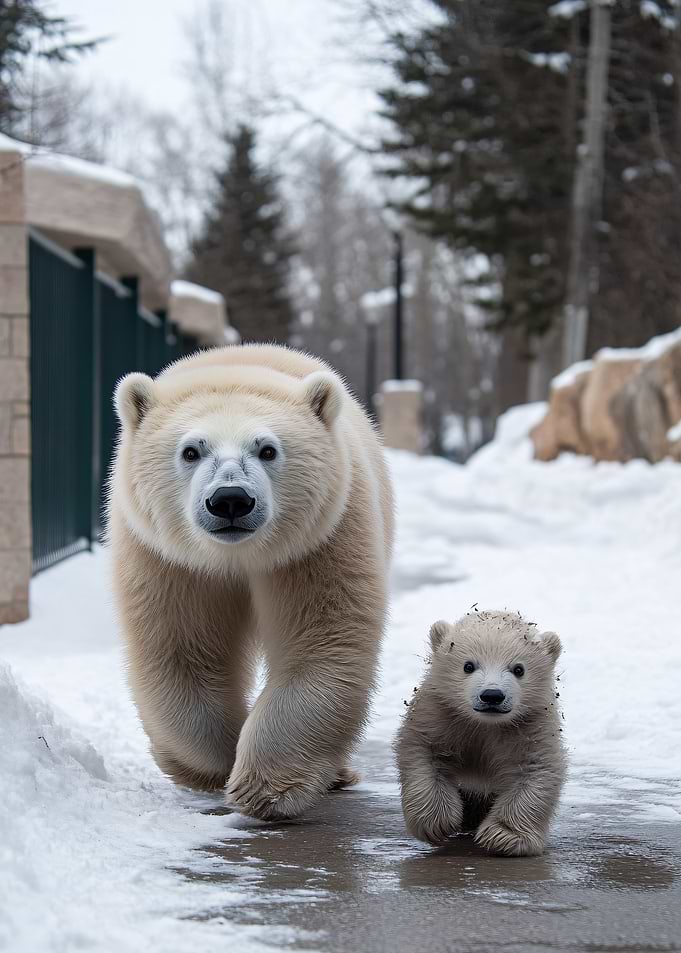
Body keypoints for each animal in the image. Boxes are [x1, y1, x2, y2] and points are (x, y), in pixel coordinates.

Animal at [108, 344, 393, 821]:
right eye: (191, 451)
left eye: (267, 450)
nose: (230, 500)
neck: (237, 557)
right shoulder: (170, 560)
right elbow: (183, 650)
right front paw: (218, 763)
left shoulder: (318, 542)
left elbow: (322, 644)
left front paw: (263, 787)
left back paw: (338, 773)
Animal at [396, 610, 565, 856]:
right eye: (468, 666)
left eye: (519, 669)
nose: (492, 695)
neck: (485, 725)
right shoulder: (440, 717)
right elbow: (423, 755)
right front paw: (437, 822)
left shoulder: (530, 727)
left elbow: (536, 772)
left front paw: (504, 835)